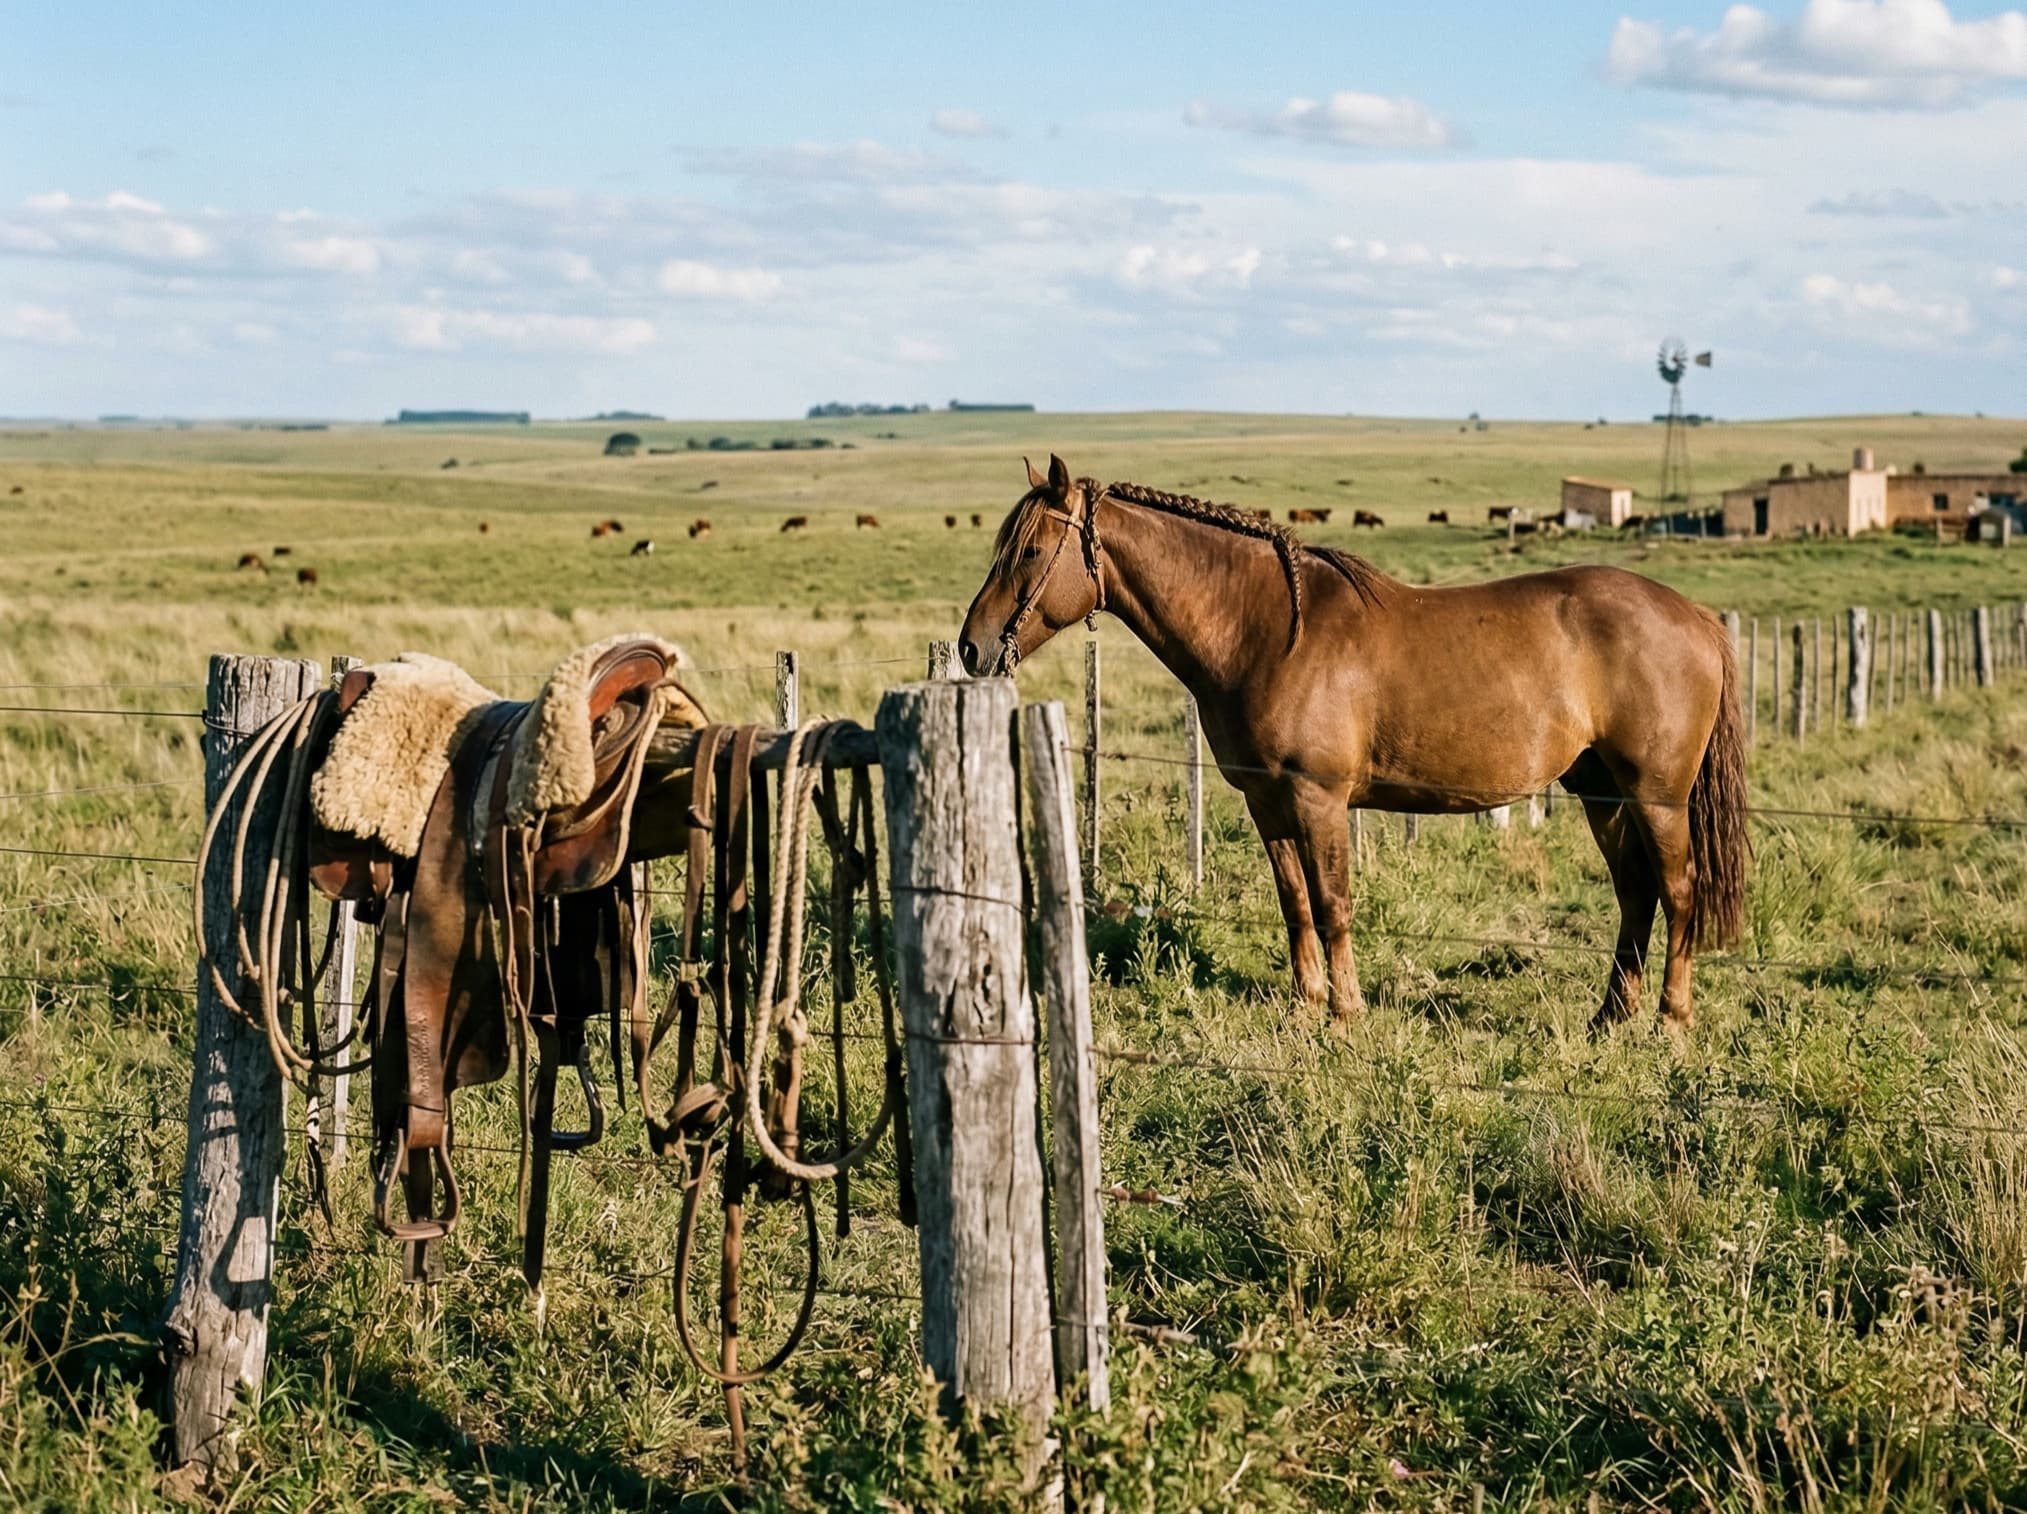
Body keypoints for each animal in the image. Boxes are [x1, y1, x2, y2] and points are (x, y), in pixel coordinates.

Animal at [958, 456, 1748, 1031]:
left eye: (1030, 550)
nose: (971, 648)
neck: (1268, 631)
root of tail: (1698, 617)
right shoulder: (1268, 804)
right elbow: (1295, 904)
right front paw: (1306, 1010)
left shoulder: (1319, 800)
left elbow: (1333, 902)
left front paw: (1345, 1016)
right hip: (1600, 792)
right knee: (1635, 892)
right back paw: (1609, 1018)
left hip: (1656, 797)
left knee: (1677, 891)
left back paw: (1669, 1023)